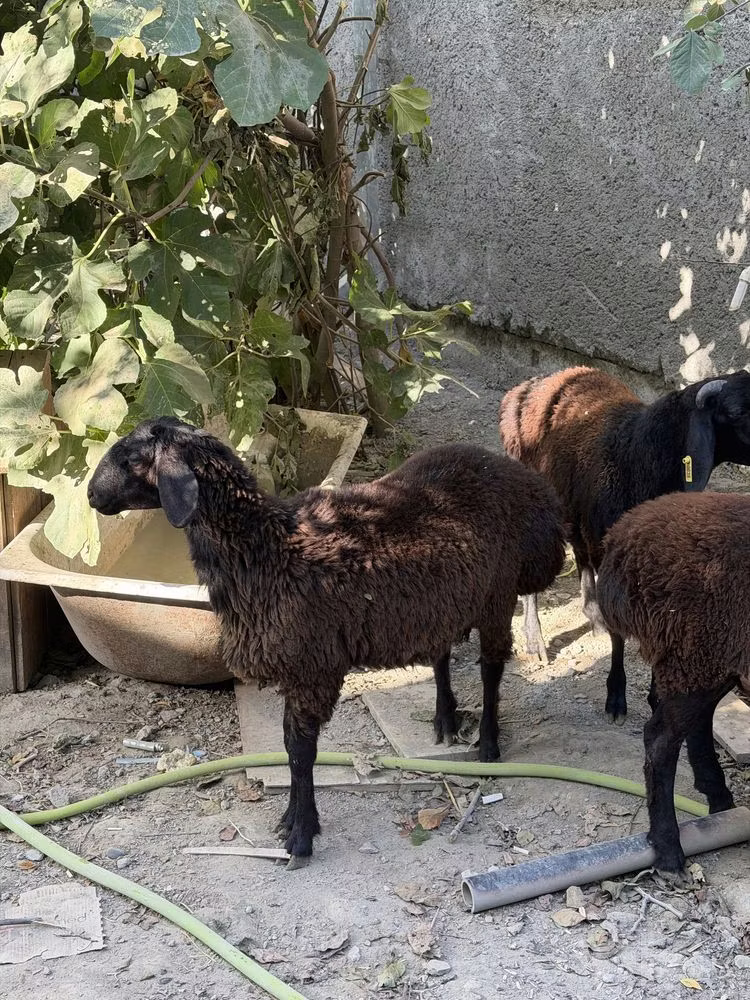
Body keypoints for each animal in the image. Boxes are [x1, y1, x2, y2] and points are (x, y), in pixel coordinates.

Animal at [87, 417, 566, 865]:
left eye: (134, 459)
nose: (91, 496)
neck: (268, 548)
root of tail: (525, 481)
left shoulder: (311, 666)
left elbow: (301, 752)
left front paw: (301, 836)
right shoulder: (297, 670)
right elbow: (288, 746)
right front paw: (292, 820)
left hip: (497, 592)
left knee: (492, 667)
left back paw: (488, 744)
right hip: (442, 598)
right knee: (442, 651)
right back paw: (445, 720)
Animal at [498, 365, 750, 724]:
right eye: (738, 412)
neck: (638, 456)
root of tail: (532, 384)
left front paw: (657, 697)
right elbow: (620, 633)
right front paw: (616, 696)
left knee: (581, 554)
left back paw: (592, 617)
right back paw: (535, 642)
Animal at [596, 490, 748, 872]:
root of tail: (621, 537)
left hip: (704, 659)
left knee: (693, 724)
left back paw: (718, 798)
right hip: (696, 651)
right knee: (660, 740)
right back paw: (668, 848)